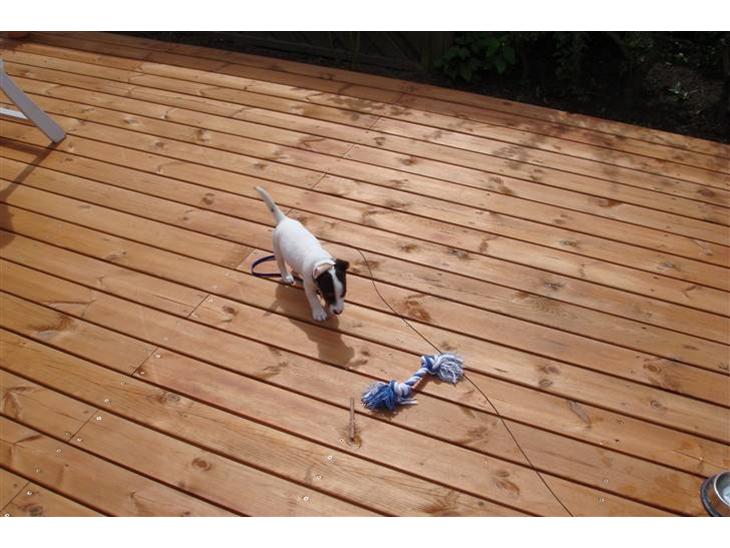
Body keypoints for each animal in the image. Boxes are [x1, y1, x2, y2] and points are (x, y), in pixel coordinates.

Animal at [256, 186, 349, 321]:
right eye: (329, 295)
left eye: (343, 293)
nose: (338, 312)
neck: (321, 262)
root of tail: (284, 220)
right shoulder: (308, 286)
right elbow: (314, 299)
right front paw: (319, 312)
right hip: (277, 248)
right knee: (281, 264)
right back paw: (287, 276)